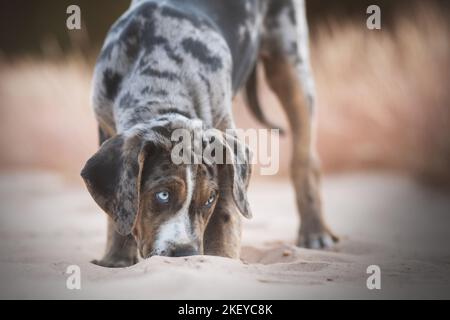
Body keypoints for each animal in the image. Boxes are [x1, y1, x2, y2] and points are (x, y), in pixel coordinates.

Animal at [81, 0, 338, 268]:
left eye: (209, 200)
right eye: (163, 195)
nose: (185, 253)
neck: (160, 78)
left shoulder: (226, 145)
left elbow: (226, 214)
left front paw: (221, 259)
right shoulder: (104, 125)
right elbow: (119, 208)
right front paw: (116, 259)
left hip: (290, 62)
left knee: (304, 157)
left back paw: (315, 231)